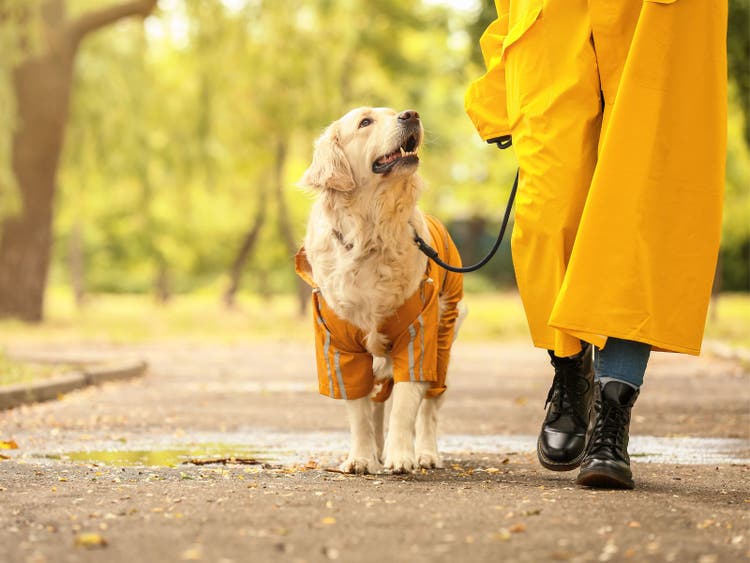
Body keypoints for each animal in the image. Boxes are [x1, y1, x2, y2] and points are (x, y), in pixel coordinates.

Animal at [296, 107, 464, 476]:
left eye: (394, 112)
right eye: (365, 122)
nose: (411, 114)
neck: (371, 232)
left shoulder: (418, 335)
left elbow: (405, 405)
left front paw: (400, 456)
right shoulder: (339, 345)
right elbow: (359, 412)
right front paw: (361, 458)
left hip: (444, 339)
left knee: (430, 406)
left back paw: (426, 453)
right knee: (375, 403)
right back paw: (374, 449)